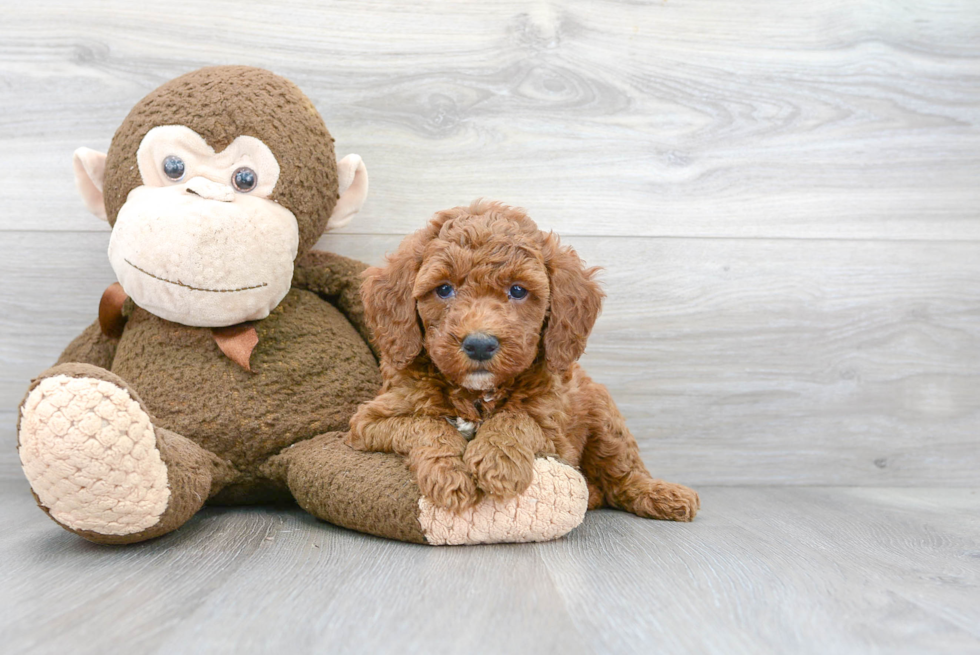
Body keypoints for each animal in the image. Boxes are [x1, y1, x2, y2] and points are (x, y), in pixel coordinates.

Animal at [348, 200, 700, 524]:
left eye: (517, 290)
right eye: (444, 289)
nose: (479, 344)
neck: (476, 395)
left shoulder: (556, 437)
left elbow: (516, 418)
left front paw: (497, 462)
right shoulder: (369, 421)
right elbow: (426, 423)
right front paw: (449, 475)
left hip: (603, 413)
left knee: (623, 474)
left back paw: (663, 494)